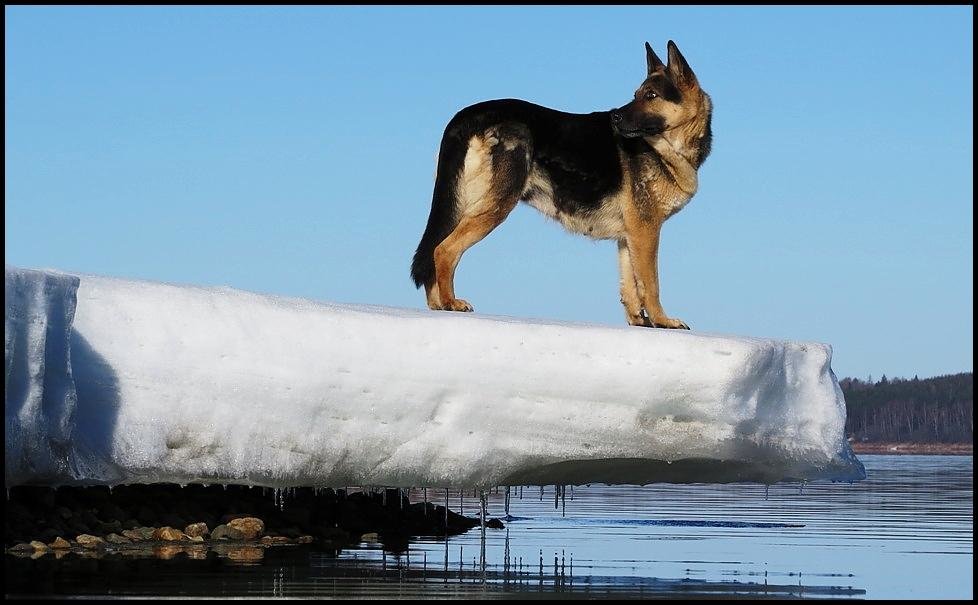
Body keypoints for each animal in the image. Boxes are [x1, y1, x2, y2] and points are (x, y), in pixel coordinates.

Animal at [410, 41, 708, 330]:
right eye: (638, 95)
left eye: (651, 96)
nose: (614, 118)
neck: (667, 146)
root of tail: (466, 116)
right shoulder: (646, 233)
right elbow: (651, 283)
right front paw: (662, 320)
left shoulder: (630, 236)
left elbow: (631, 286)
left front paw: (640, 321)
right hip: (493, 206)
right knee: (444, 250)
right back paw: (451, 302)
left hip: (461, 204)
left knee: (435, 249)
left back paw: (438, 304)